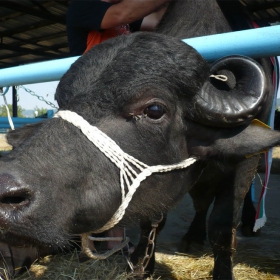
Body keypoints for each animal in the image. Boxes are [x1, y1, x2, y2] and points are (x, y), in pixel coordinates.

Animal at [0, 31, 280, 280]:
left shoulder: (241, 168)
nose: (6, 193)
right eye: (61, 103)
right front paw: (142, 265)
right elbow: (152, 222)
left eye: (154, 110)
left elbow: (222, 229)